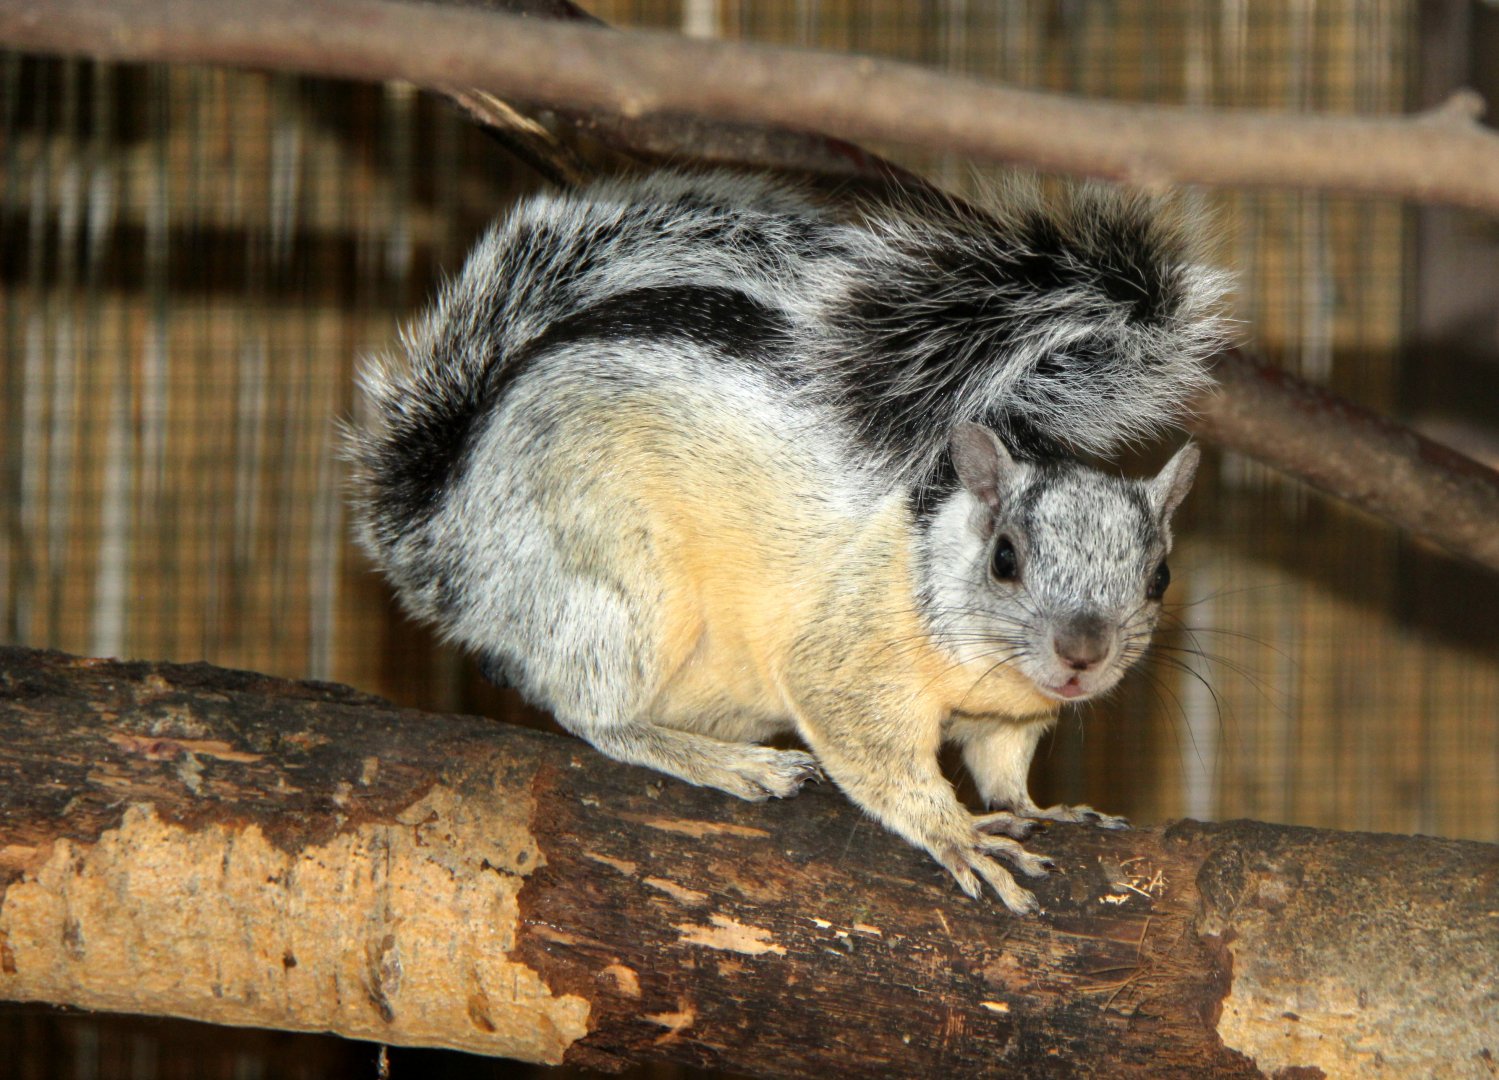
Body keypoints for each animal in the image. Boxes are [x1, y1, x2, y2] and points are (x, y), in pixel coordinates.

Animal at [347, 170, 1228, 915]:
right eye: (1004, 559)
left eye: (1159, 575)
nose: (1082, 655)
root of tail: (449, 543)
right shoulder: (846, 657)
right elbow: (876, 753)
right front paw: (956, 833)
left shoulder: (1010, 715)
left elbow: (1002, 763)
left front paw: (1043, 807)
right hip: (614, 584)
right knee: (591, 711)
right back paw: (726, 762)